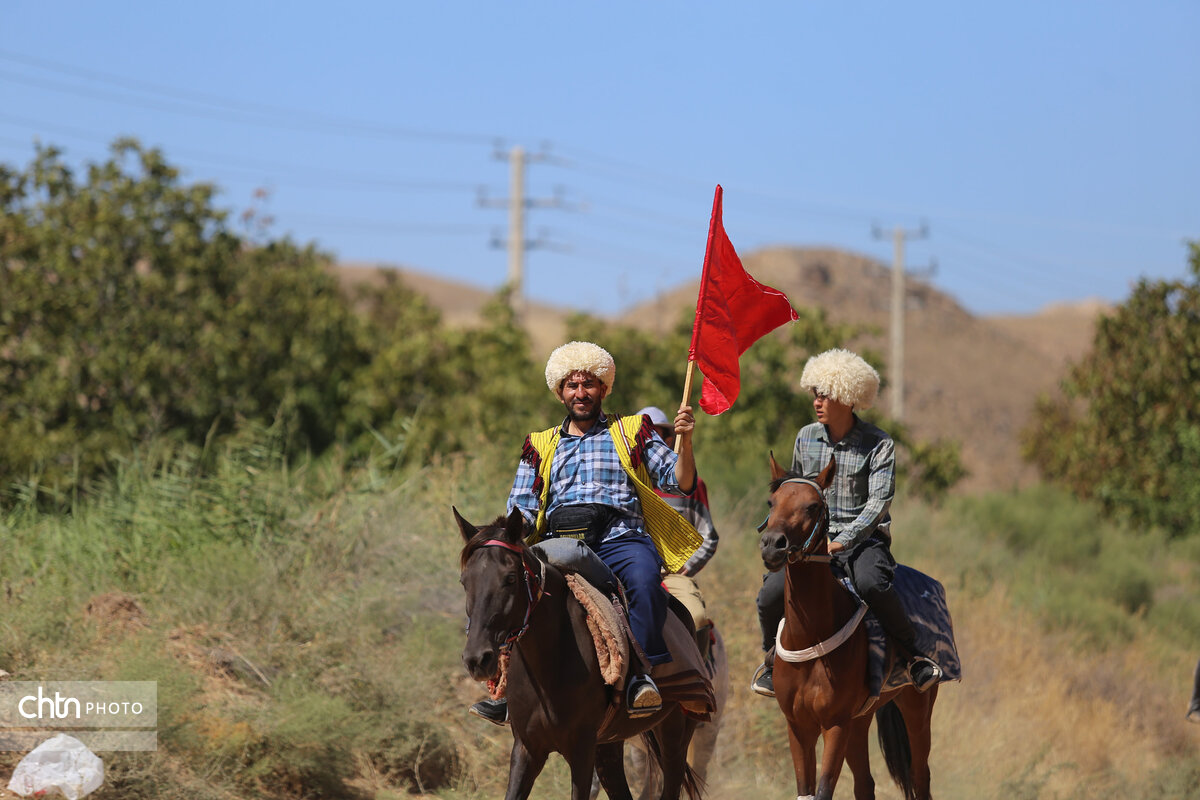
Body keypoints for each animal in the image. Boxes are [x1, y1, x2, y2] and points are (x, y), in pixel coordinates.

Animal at [456, 510, 700, 796]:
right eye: (464, 582)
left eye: (510, 579)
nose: (477, 659)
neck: (549, 665)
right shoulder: (527, 748)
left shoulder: (581, 750)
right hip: (608, 745)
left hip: (675, 734)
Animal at [758, 455, 936, 800]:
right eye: (772, 502)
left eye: (812, 506)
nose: (773, 545)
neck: (809, 638)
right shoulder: (798, 725)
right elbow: (805, 790)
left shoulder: (835, 724)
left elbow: (823, 790)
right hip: (861, 719)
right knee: (865, 784)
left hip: (917, 709)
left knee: (920, 777)